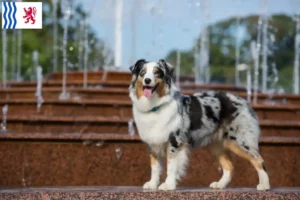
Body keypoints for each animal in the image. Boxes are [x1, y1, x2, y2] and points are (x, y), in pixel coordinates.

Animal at [127, 59, 270, 191]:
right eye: (142, 73)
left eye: (157, 73)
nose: (147, 80)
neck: (155, 106)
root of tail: (244, 101)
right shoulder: (153, 143)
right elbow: (155, 167)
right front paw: (152, 184)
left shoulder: (175, 142)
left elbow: (171, 166)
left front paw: (168, 185)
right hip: (217, 145)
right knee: (229, 166)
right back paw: (220, 184)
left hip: (240, 140)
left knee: (259, 160)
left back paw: (264, 185)